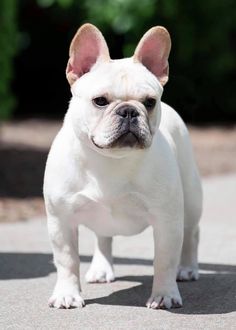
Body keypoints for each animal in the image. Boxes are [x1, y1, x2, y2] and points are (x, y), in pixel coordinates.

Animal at [43, 23, 203, 310]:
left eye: (149, 102)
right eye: (100, 101)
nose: (129, 111)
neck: (111, 160)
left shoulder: (167, 221)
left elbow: (164, 260)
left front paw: (164, 294)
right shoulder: (60, 220)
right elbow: (67, 260)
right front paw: (67, 294)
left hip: (192, 200)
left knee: (191, 233)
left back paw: (187, 268)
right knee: (103, 237)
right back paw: (101, 268)